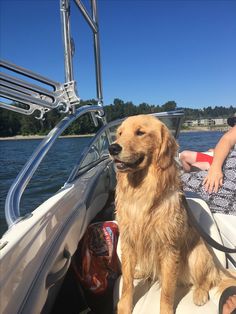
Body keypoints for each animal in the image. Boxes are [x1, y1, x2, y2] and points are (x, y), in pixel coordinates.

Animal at [109, 114, 236, 314]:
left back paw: (200, 294)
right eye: (120, 133)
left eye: (140, 132)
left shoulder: (169, 248)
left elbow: (167, 292)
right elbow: (127, 284)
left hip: (197, 255)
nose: (112, 148)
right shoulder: (129, 242)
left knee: (206, 280)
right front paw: (124, 307)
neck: (142, 190)